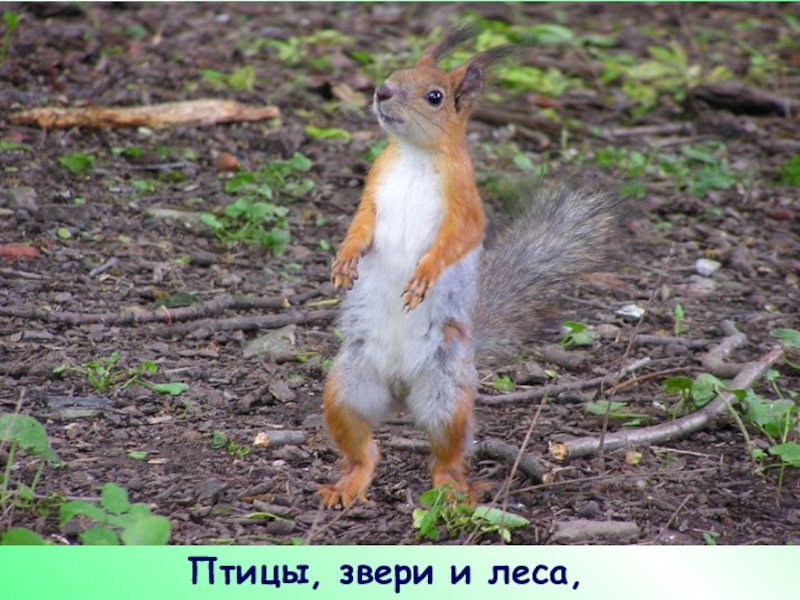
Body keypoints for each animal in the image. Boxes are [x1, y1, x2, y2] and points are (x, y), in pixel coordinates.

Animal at [318, 23, 621, 508]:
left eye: (435, 96)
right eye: (393, 74)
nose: (382, 92)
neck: (414, 155)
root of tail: (400, 390)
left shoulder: (465, 204)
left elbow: (454, 242)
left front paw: (424, 274)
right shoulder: (372, 191)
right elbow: (360, 224)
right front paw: (345, 260)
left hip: (447, 397)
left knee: (447, 455)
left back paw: (451, 489)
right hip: (345, 390)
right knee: (366, 450)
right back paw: (349, 483)